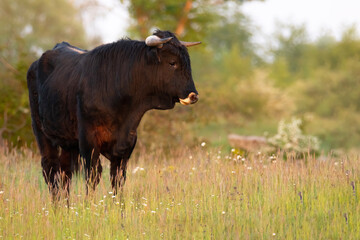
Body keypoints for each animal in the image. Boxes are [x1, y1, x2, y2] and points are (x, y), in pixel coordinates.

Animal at [27, 30, 200, 196]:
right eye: (172, 62)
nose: (193, 95)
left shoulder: (125, 147)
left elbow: (117, 180)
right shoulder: (89, 144)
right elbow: (93, 177)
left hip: (67, 142)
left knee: (65, 174)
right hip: (42, 134)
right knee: (50, 170)